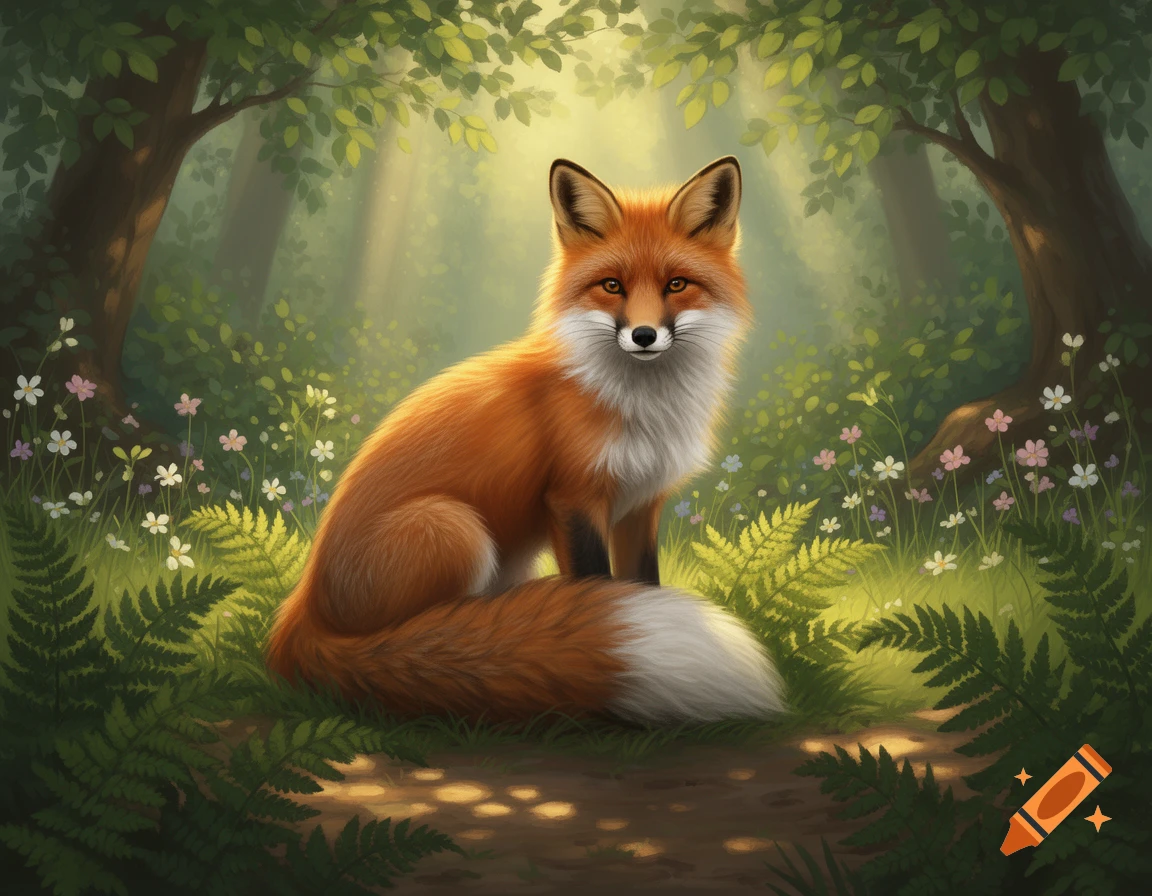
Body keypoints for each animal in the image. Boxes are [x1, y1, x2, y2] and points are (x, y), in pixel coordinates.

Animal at [264, 156, 786, 725]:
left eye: (676, 284)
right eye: (611, 285)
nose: (644, 336)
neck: (640, 408)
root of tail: (300, 612)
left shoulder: (641, 505)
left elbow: (643, 585)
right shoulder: (574, 498)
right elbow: (598, 589)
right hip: (452, 528)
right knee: (420, 641)